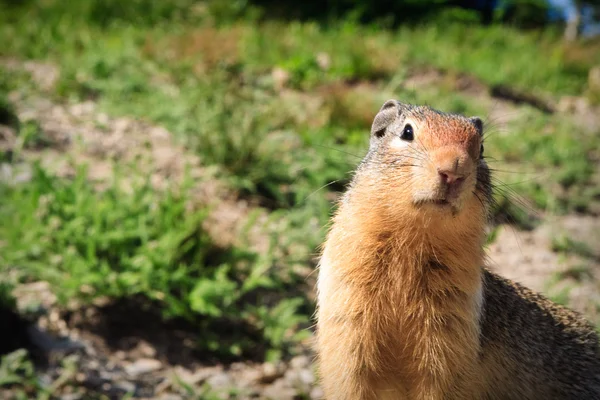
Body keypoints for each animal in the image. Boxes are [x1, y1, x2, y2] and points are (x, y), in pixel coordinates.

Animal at [314, 98, 600, 398]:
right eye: (407, 132)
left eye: (482, 148)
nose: (454, 171)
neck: (412, 240)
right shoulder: (348, 320)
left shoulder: (451, 332)